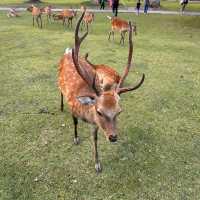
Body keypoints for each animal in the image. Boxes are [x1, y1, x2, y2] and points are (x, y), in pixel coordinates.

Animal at [57, 12, 145, 173]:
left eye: (119, 111)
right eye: (99, 111)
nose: (113, 137)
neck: (85, 113)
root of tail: (67, 52)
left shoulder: (95, 124)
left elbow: (95, 139)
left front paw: (97, 163)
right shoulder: (73, 107)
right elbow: (75, 123)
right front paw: (76, 138)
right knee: (60, 91)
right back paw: (60, 106)